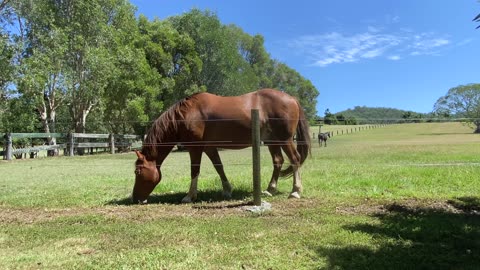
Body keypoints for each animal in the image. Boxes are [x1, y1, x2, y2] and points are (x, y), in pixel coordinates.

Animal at [132, 87, 312, 204]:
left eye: (137, 171)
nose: (135, 198)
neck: (185, 115)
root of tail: (292, 98)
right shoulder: (209, 147)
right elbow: (219, 167)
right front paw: (227, 190)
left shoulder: (195, 147)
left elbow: (194, 170)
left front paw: (190, 196)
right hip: (272, 141)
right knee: (278, 161)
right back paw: (270, 189)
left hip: (285, 139)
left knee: (295, 159)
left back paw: (295, 191)